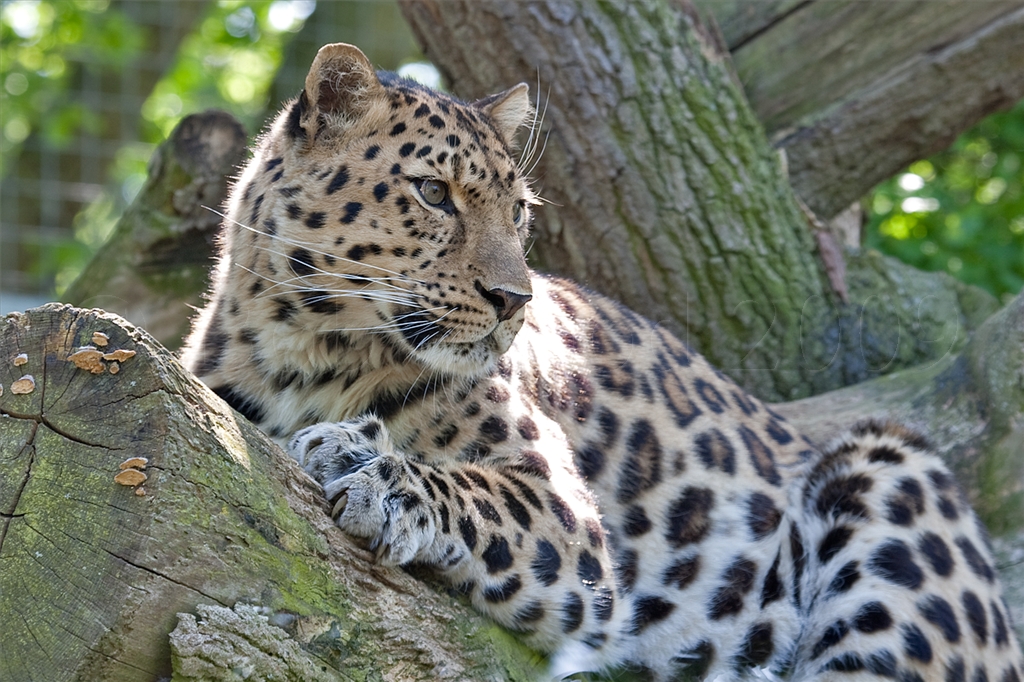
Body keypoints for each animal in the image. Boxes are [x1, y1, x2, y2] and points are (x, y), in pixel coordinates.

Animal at [181, 43, 1024, 681]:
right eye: (432, 193)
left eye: (518, 212)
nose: (513, 300)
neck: (300, 346)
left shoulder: (566, 522)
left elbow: (474, 490)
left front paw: (373, 470)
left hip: (892, 475)